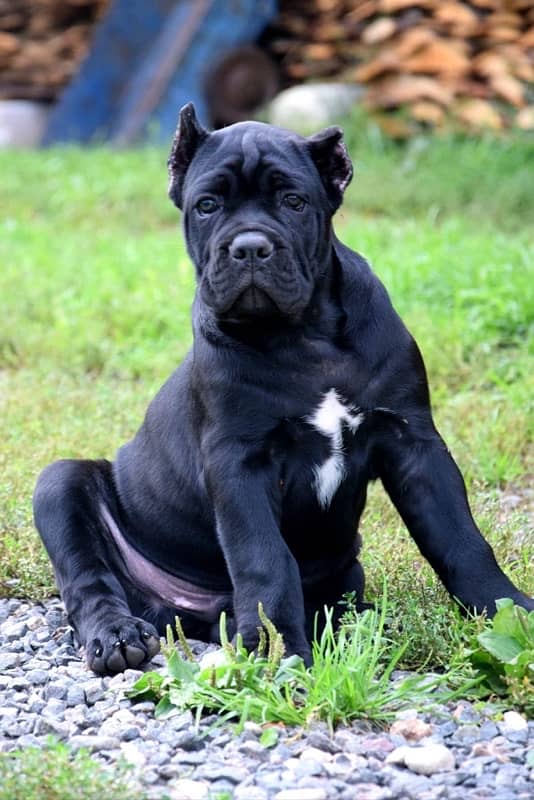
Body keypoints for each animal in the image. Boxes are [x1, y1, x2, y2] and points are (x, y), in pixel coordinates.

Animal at [32, 101, 532, 676]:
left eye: (294, 201)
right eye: (207, 206)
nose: (251, 246)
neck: (303, 334)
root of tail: (188, 612)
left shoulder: (414, 442)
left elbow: (461, 539)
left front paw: (512, 614)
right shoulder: (239, 463)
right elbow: (265, 561)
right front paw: (280, 653)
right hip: (58, 484)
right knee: (88, 579)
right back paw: (117, 636)